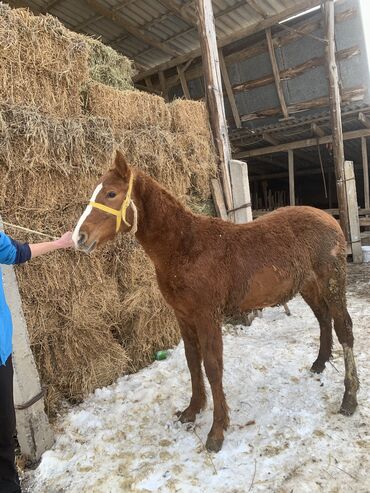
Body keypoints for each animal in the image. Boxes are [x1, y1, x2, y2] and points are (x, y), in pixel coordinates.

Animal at [72, 152, 358, 452]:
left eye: (111, 193)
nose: (79, 237)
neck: (185, 248)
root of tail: (329, 218)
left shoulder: (207, 315)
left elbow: (212, 366)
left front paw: (217, 431)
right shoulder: (183, 316)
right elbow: (192, 361)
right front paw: (192, 410)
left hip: (332, 282)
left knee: (344, 329)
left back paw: (349, 398)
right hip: (308, 286)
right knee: (323, 319)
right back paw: (319, 363)